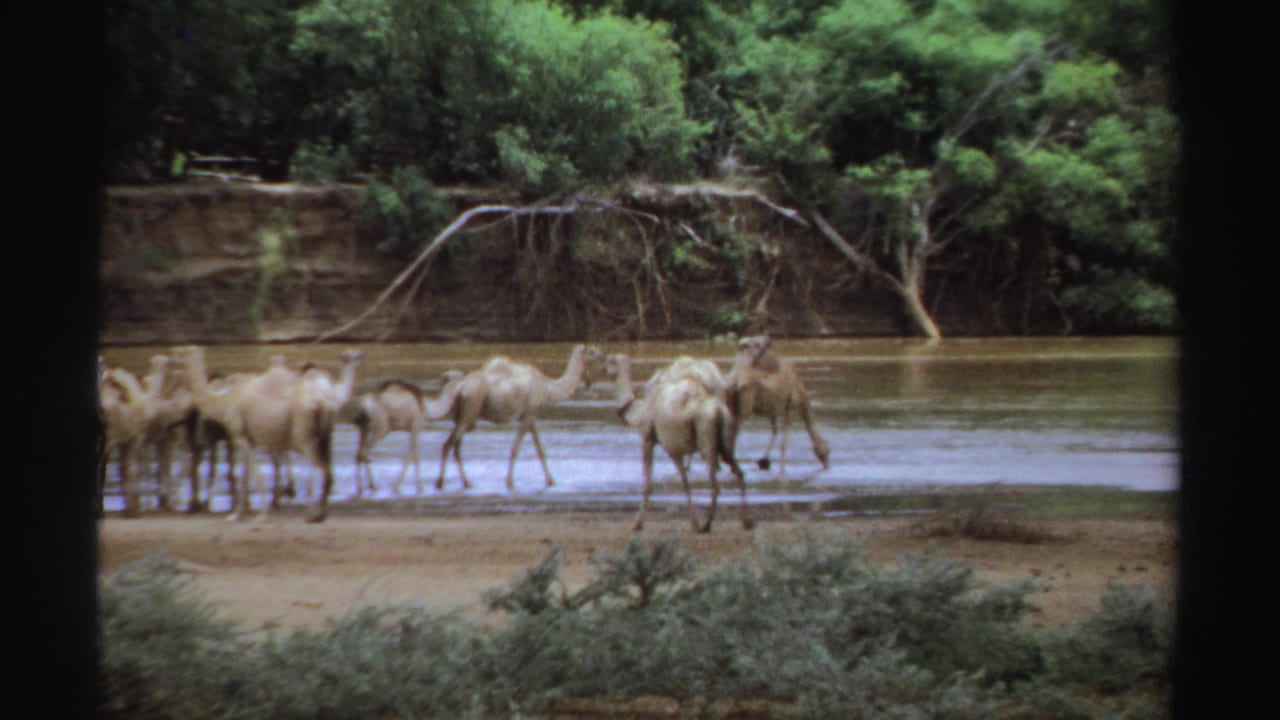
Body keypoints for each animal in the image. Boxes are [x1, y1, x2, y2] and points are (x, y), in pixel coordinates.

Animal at [436, 344, 603, 491]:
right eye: (592, 351)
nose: (603, 354)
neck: (549, 388)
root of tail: (460, 387)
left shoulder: (530, 416)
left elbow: (540, 450)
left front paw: (551, 481)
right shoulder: (528, 415)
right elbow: (515, 449)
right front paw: (509, 482)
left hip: (461, 414)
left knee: (450, 445)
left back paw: (452, 483)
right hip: (471, 408)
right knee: (452, 445)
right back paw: (451, 483)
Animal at [606, 353, 752, 533]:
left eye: (609, 361)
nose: (602, 368)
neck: (639, 411)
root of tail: (718, 410)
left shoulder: (649, 439)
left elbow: (649, 484)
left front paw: (637, 524)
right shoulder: (675, 450)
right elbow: (685, 483)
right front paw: (693, 522)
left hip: (706, 439)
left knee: (715, 484)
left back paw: (707, 524)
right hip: (726, 440)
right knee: (738, 472)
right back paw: (746, 521)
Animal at [725, 335, 830, 475]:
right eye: (828, 450)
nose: (827, 465)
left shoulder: (773, 410)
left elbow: (775, 430)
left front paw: (764, 461)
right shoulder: (790, 406)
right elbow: (783, 442)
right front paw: (778, 467)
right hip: (744, 408)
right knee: (734, 432)